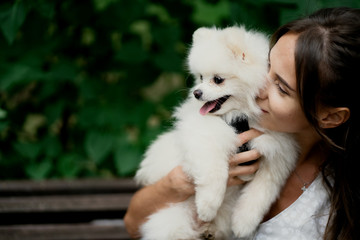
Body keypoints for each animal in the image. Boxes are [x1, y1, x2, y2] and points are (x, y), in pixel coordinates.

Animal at [135, 25, 298, 239]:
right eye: (201, 78)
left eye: (218, 80)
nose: (196, 93)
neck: (240, 117)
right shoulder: (204, 135)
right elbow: (214, 172)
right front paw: (208, 206)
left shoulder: (277, 153)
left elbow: (260, 193)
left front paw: (243, 223)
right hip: (173, 221)